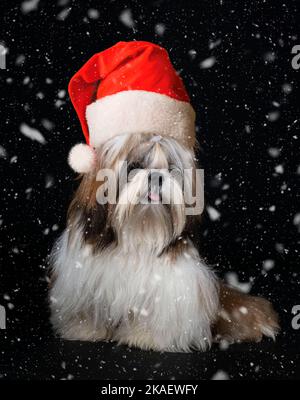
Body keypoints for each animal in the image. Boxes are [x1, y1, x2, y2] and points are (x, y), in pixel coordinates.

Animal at [49, 40, 278, 352]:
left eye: (170, 169)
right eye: (134, 166)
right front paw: (84, 329)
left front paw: (145, 337)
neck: (139, 235)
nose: (156, 177)